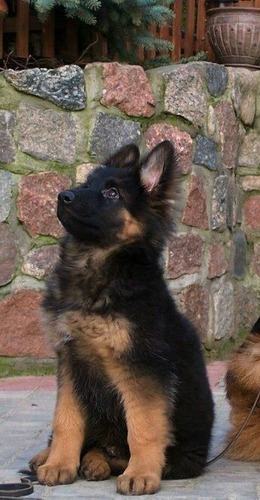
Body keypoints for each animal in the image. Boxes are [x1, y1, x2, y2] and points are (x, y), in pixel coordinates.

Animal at [29, 142, 214, 496]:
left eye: (112, 193)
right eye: (86, 184)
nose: (63, 195)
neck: (97, 265)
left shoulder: (142, 366)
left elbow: (143, 425)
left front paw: (141, 473)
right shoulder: (71, 362)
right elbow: (66, 420)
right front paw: (59, 464)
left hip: (184, 455)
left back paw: (102, 462)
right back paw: (57, 457)